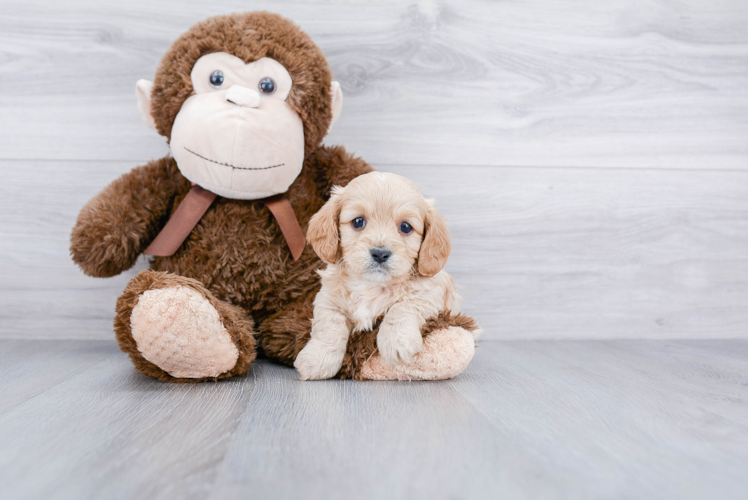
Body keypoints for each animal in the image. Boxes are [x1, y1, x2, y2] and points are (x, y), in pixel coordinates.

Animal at [296, 171, 468, 378]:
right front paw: (317, 359)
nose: (380, 253)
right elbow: (329, 325)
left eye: (406, 227)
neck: (371, 285)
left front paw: (397, 342)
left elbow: (401, 308)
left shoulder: (428, 295)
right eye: (358, 222)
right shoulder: (327, 299)